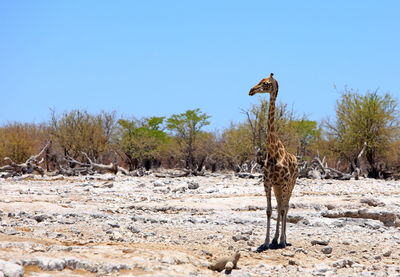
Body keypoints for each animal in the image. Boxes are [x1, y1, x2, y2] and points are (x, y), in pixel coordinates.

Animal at [248, 73, 298, 250]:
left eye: (266, 83)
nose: (251, 90)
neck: (274, 152)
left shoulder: (284, 182)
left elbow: (283, 210)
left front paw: (282, 241)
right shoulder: (268, 181)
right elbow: (269, 210)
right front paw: (267, 241)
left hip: (290, 184)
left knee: (286, 207)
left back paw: (283, 239)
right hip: (277, 187)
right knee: (278, 206)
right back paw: (276, 239)